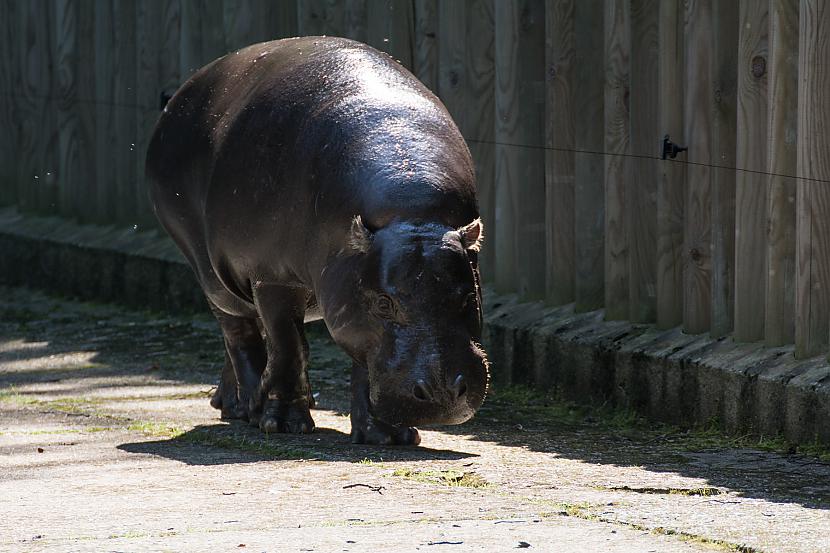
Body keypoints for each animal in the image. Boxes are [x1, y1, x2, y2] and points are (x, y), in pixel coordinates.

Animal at [146, 36, 490, 444]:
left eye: (468, 297)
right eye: (384, 303)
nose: (441, 394)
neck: (411, 214)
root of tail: (181, 93)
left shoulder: (352, 291)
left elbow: (363, 358)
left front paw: (387, 436)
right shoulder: (273, 276)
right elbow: (289, 346)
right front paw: (283, 424)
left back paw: (232, 404)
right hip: (212, 273)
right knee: (240, 332)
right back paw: (252, 408)